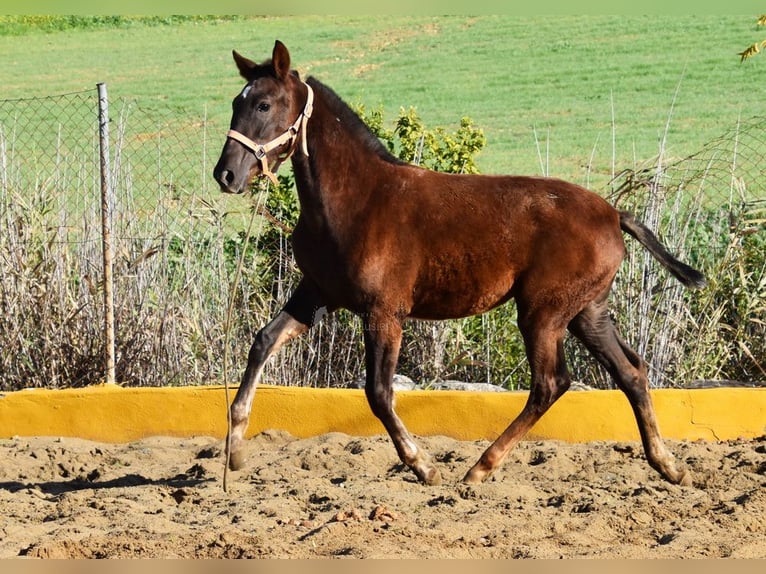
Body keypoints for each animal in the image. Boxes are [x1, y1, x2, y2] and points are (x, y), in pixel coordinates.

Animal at [214, 40, 708, 488]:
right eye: (236, 102)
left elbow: (378, 393)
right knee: (631, 372)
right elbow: (262, 341)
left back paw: (480, 468)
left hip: (543, 312)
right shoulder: (316, 293)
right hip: (588, 312)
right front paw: (235, 450)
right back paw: (668, 465)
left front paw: (424, 466)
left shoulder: (384, 312)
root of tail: (613, 214)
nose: (226, 174)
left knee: (550, 383)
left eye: (263, 104)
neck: (355, 200)